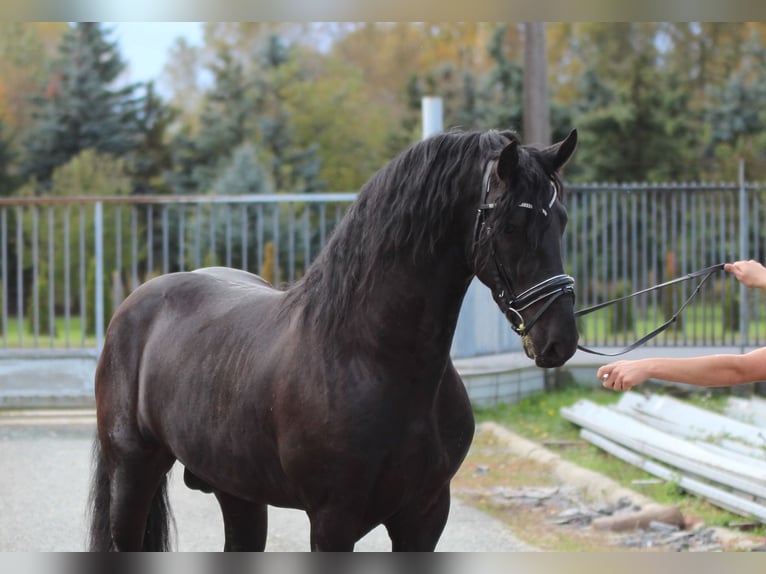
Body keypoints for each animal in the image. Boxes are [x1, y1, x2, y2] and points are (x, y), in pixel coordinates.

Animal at [87, 127, 580, 552]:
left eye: (561, 219)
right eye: (510, 226)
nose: (559, 338)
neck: (373, 359)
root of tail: (134, 304)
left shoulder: (425, 516)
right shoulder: (333, 521)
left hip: (238, 492)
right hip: (133, 473)